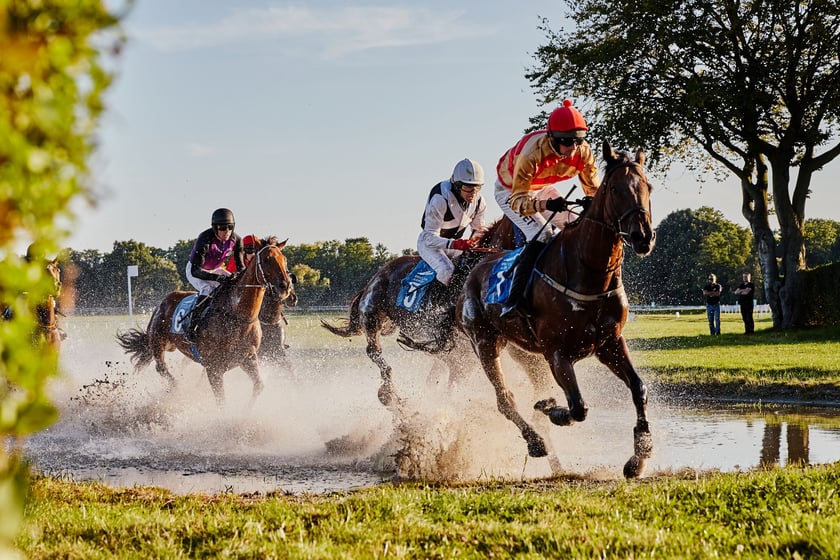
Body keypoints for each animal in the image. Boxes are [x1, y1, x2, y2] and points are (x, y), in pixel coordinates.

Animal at [115, 238, 292, 404]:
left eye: (284, 259)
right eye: (267, 259)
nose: (285, 286)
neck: (238, 316)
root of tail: (162, 303)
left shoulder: (248, 358)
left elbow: (259, 386)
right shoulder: (214, 369)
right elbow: (221, 401)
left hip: (170, 345)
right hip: (158, 342)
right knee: (161, 368)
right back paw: (176, 390)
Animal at [460, 140, 656, 476]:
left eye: (648, 187)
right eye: (615, 188)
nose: (643, 236)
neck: (588, 272)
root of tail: (476, 268)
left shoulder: (609, 343)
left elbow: (638, 388)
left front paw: (638, 457)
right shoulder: (557, 352)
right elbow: (578, 407)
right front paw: (551, 409)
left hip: (524, 352)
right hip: (484, 343)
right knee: (504, 398)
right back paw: (536, 441)